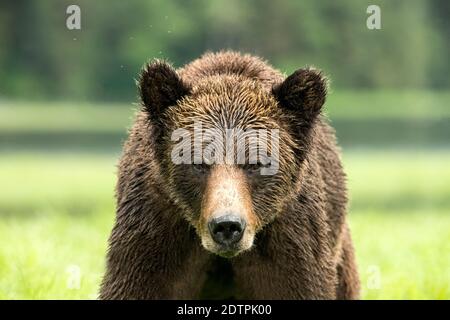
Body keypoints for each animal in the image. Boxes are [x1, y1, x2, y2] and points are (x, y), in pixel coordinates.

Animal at [98, 51, 358, 298]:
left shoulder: (290, 235)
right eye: (197, 162)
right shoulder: (156, 225)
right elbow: (138, 283)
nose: (227, 226)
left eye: (256, 162)